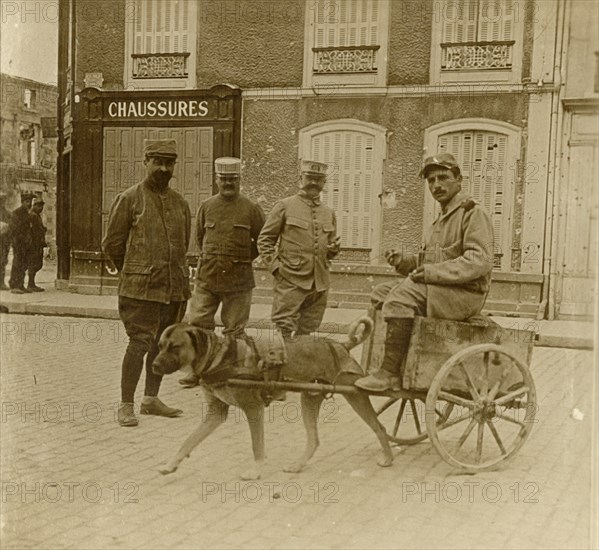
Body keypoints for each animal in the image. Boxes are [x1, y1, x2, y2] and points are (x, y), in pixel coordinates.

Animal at [152, 316, 396, 480]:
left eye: (175, 347)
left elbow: (257, 445)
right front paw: (171, 464)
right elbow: (189, 440)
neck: (220, 358)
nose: (154, 365)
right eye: (160, 346)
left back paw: (388, 457)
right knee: (314, 440)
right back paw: (298, 465)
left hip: (355, 396)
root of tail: (340, 344)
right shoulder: (216, 413)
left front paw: (255, 471)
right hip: (310, 399)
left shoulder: (253, 409)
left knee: (379, 427)